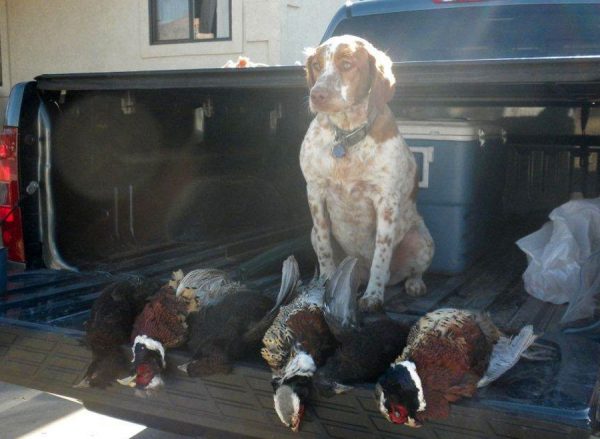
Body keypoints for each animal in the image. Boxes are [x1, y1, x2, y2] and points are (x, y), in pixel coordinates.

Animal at [302, 35, 434, 312]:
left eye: (347, 64)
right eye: (317, 65)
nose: (317, 95)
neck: (346, 135)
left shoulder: (386, 202)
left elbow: (381, 255)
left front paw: (374, 294)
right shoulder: (315, 192)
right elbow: (324, 248)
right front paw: (325, 283)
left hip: (422, 239)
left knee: (411, 271)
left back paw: (414, 283)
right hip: (313, 233)